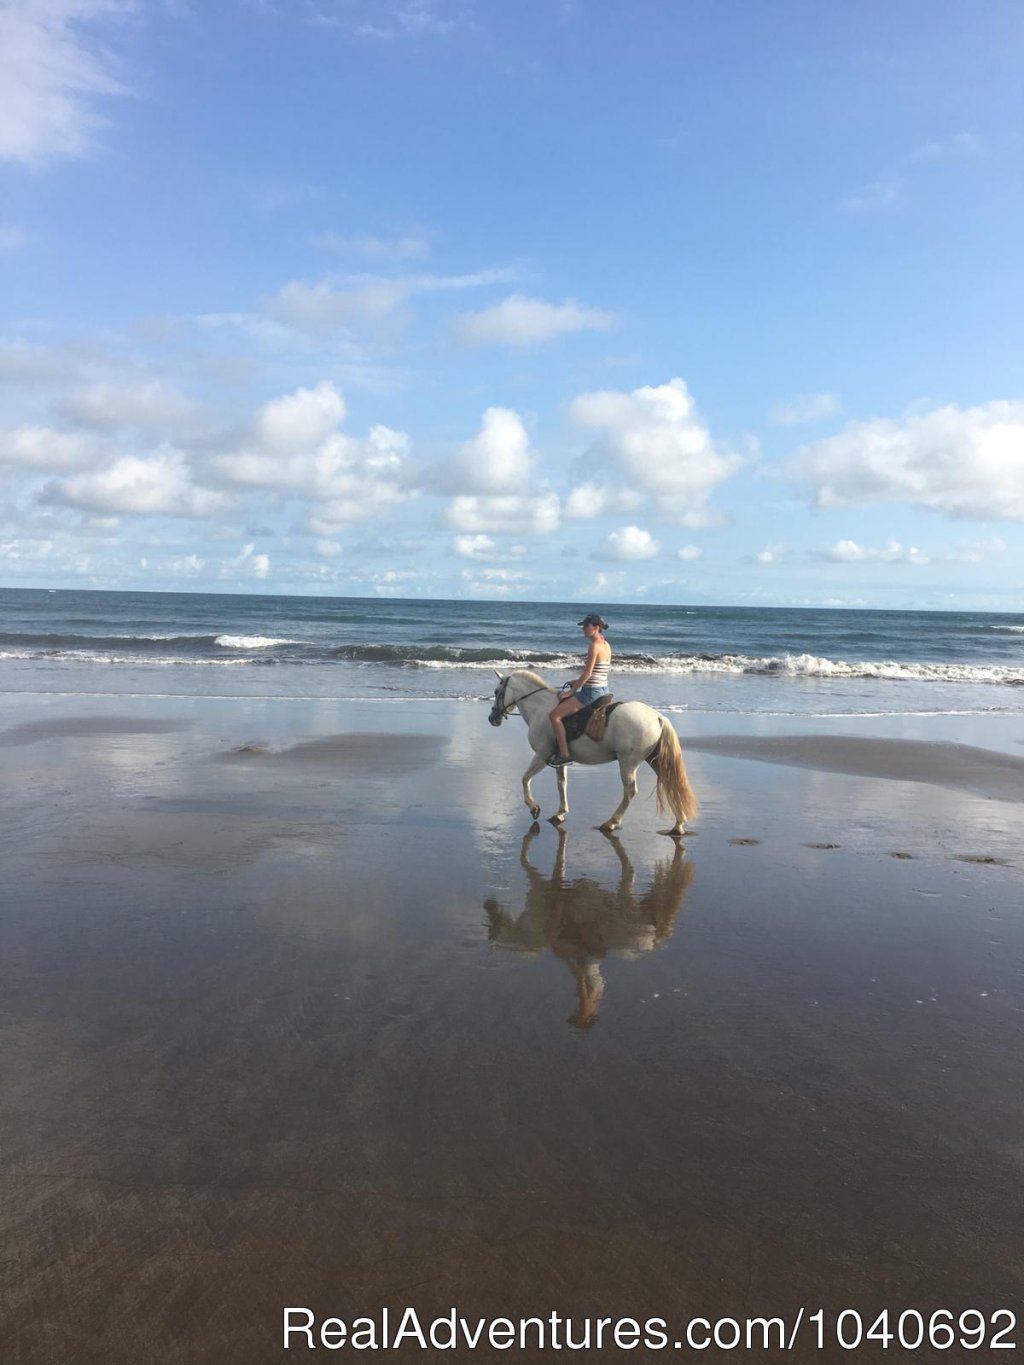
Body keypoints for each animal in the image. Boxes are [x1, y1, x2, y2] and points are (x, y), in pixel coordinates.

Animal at [486, 668, 699, 829]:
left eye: (496, 692)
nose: (492, 718)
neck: (541, 708)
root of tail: (657, 717)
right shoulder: (559, 760)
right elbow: (561, 784)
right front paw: (560, 813)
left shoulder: (541, 755)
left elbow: (525, 779)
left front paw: (533, 807)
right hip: (654, 760)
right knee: (670, 783)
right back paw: (679, 824)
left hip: (628, 763)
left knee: (630, 791)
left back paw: (611, 822)